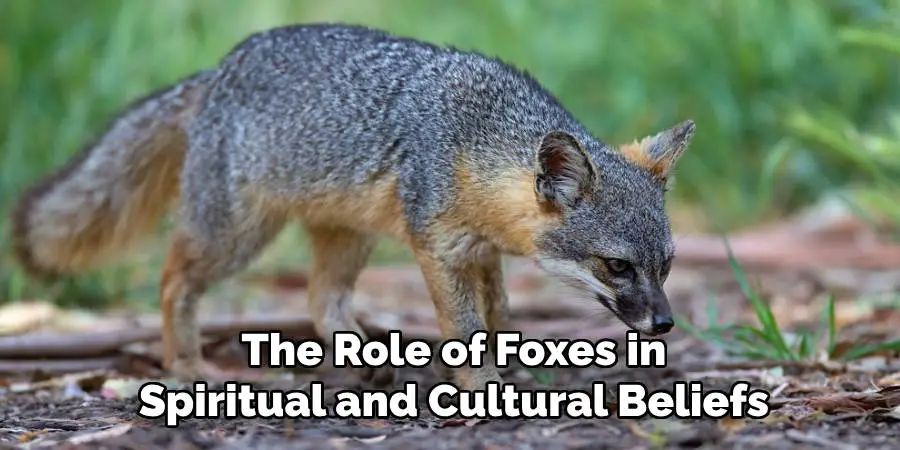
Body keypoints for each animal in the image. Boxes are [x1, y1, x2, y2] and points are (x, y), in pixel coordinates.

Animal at [10, 23, 694, 391]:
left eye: (665, 265)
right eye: (616, 266)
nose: (665, 324)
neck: (477, 133)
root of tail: (219, 69)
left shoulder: (480, 252)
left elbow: (498, 317)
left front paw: (509, 371)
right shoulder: (439, 247)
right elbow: (464, 327)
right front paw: (479, 387)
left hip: (348, 237)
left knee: (322, 301)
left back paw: (368, 364)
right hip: (236, 236)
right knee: (174, 279)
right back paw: (188, 366)